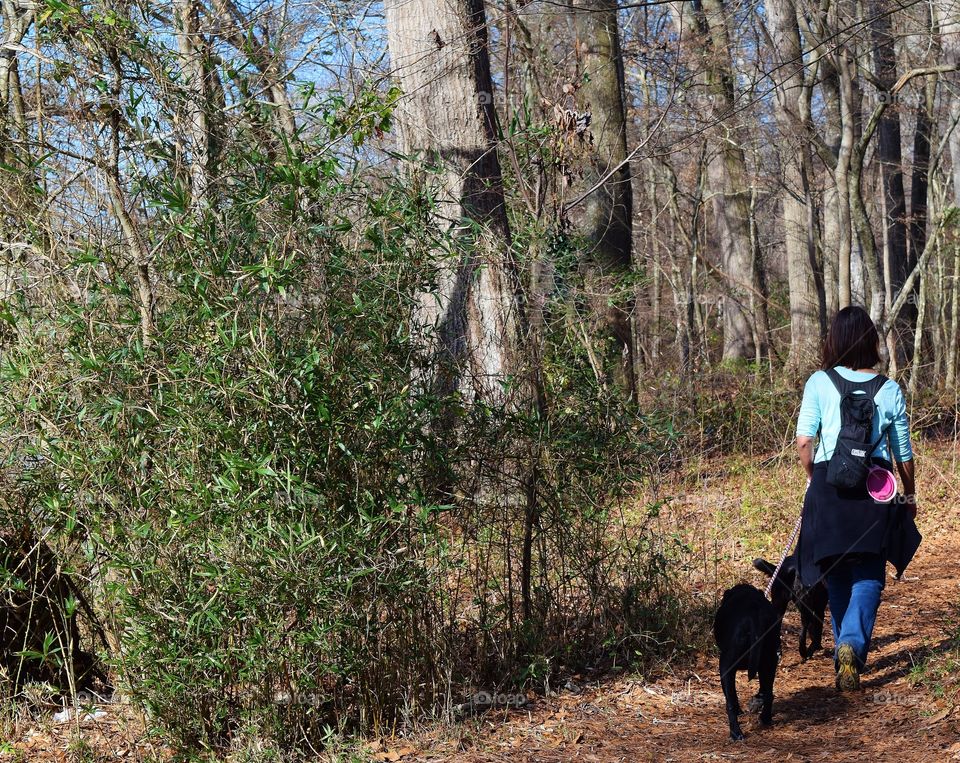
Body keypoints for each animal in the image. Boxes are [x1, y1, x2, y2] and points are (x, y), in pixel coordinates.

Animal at [712, 584, 780, 740]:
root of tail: (755, 616)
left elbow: (731, 696)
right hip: (771, 661)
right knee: (769, 694)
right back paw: (765, 719)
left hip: (725, 666)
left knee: (730, 702)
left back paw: (735, 733)